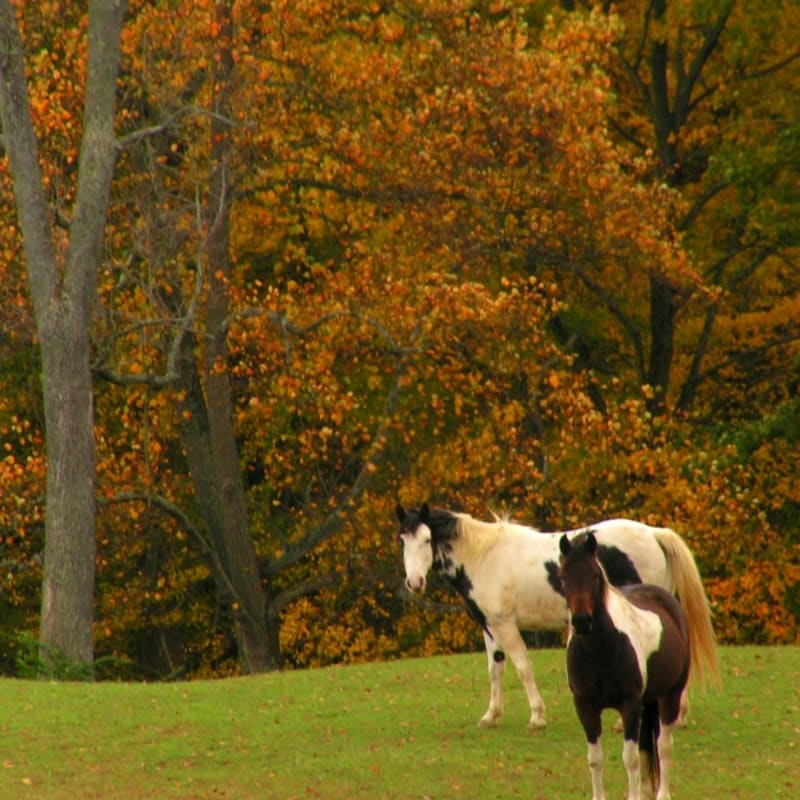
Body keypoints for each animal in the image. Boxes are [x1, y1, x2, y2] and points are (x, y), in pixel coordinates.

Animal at [395, 503, 719, 731]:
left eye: (427, 540)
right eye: (402, 540)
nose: (414, 582)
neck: (483, 556)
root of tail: (653, 533)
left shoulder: (505, 625)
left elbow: (523, 667)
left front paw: (537, 716)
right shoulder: (490, 627)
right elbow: (495, 669)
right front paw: (491, 716)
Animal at [558, 531, 718, 800]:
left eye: (594, 575)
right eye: (563, 576)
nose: (581, 621)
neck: (600, 650)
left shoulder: (629, 704)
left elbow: (630, 758)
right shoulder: (585, 705)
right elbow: (595, 759)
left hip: (669, 696)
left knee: (663, 746)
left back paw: (662, 793)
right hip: (648, 701)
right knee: (647, 746)